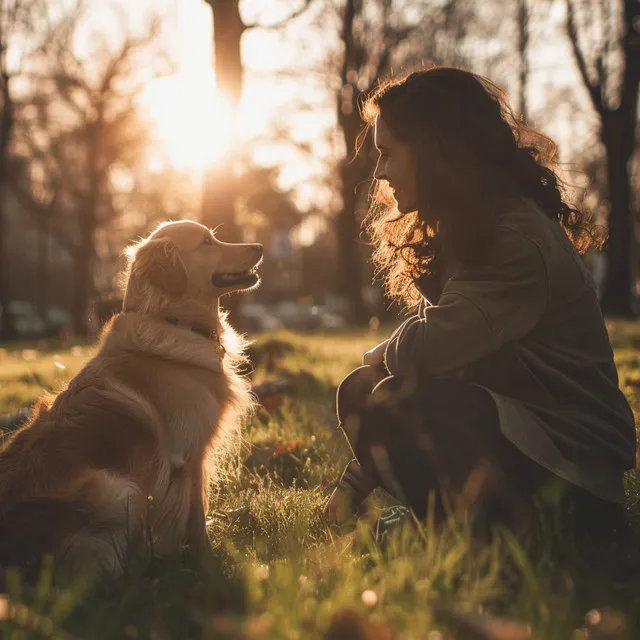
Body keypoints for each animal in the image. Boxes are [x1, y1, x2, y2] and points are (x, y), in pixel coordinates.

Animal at [0, 221, 262, 584]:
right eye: (207, 242)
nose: (260, 247)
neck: (172, 322)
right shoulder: (188, 456)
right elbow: (196, 516)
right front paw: (208, 565)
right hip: (119, 488)